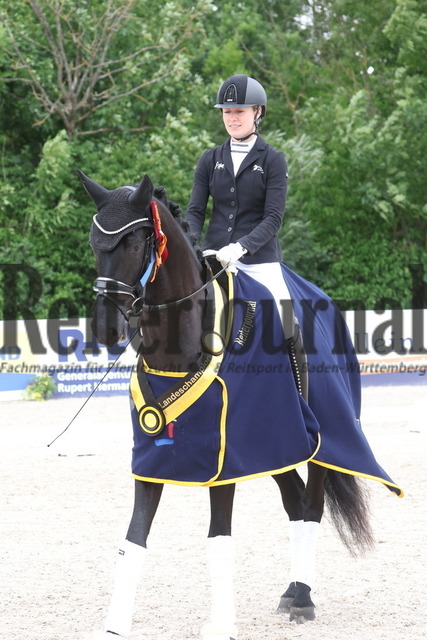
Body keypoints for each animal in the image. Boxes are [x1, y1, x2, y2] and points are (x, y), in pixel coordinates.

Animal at [79, 170, 402, 640]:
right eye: (94, 244)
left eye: (135, 243)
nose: (104, 327)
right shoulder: (153, 457)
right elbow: (133, 539)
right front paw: (116, 624)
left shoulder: (225, 462)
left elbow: (218, 541)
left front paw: (220, 624)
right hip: (279, 444)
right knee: (295, 504)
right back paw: (292, 590)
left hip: (322, 442)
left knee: (311, 507)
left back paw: (303, 599)